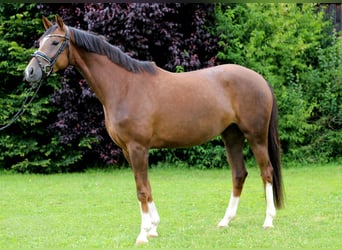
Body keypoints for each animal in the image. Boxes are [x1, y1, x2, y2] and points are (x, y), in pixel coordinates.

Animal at [24, 15, 284, 244]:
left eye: (55, 42)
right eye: (40, 42)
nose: (30, 72)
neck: (123, 86)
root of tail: (260, 79)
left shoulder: (138, 147)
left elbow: (141, 190)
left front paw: (142, 234)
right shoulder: (128, 150)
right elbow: (146, 188)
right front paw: (153, 228)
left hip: (256, 136)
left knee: (266, 172)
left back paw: (268, 221)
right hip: (232, 136)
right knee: (239, 174)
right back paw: (225, 221)